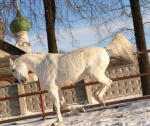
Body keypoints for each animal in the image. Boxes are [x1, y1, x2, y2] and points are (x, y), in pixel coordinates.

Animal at [9, 34, 137, 125]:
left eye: (13, 70)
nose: (23, 81)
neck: (42, 65)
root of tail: (104, 49)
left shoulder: (52, 89)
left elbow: (57, 105)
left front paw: (57, 122)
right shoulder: (58, 88)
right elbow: (63, 105)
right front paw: (80, 110)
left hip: (95, 73)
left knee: (108, 82)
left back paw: (100, 99)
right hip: (95, 74)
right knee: (105, 83)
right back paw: (97, 98)